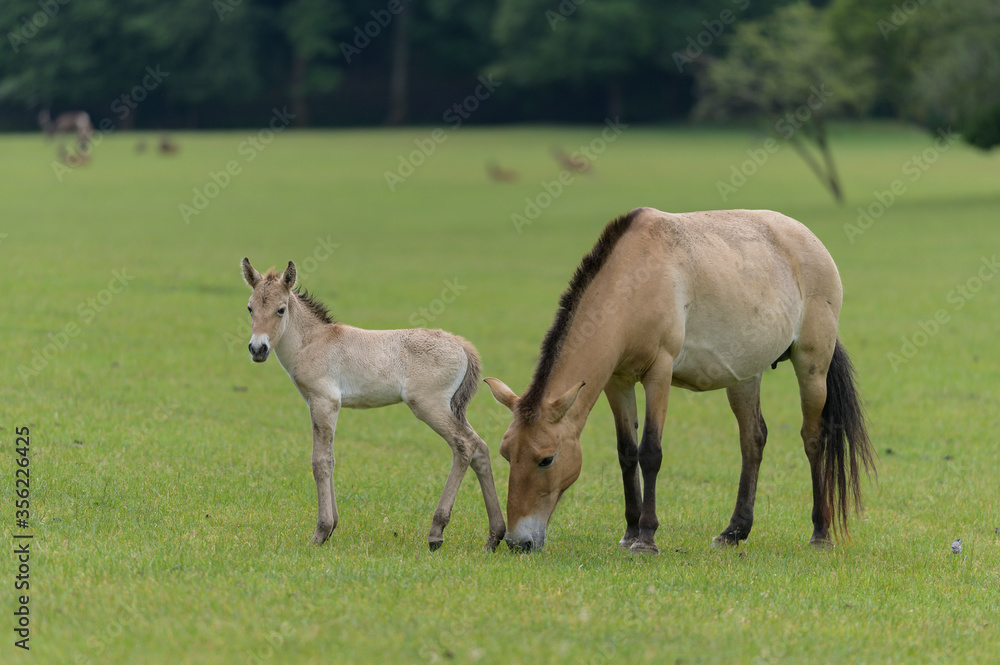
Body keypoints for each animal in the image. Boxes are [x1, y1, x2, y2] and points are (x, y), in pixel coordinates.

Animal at [242, 258, 508, 548]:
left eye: (281, 309)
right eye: (250, 307)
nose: (258, 349)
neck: (312, 341)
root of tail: (462, 345)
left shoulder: (324, 402)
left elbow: (320, 462)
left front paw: (321, 532)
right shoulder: (321, 404)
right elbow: (330, 459)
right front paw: (332, 526)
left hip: (429, 406)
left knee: (464, 446)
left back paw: (437, 531)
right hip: (453, 409)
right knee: (480, 448)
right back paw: (494, 536)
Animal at [486, 210, 876, 552]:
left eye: (546, 459)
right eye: (506, 453)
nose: (518, 543)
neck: (634, 280)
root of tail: (811, 241)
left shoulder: (659, 374)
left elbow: (650, 452)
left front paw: (646, 539)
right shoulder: (618, 382)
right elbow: (626, 453)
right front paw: (629, 532)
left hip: (812, 366)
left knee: (814, 440)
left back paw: (820, 532)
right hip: (745, 376)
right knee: (753, 440)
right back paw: (734, 532)